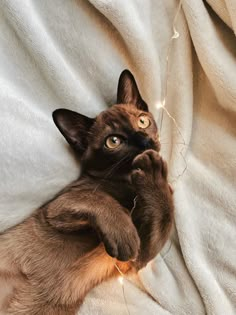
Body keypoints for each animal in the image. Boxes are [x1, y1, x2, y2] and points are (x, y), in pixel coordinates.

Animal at [0, 70, 173, 314]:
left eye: (142, 121)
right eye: (113, 141)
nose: (143, 142)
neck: (127, 185)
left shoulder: (137, 258)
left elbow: (165, 211)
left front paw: (157, 179)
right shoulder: (58, 208)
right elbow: (98, 198)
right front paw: (124, 231)